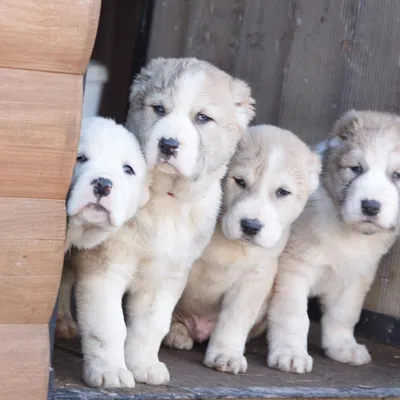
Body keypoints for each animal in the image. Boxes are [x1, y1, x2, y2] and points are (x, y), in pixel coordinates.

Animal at [74, 57, 255, 388]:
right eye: (158, 109)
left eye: (202, 118)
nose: (169, 144)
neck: (166, 201)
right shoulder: (104, 268)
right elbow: (109, 325)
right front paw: (111, 372)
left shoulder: (167, 276)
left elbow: (151, 326)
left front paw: (143, 365)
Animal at [162, 125, 322, 376]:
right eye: (239, 181)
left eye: (282, 192)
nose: (250, 225)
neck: (232, 245)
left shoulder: (255, 278)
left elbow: (235, 319)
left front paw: (226, 355)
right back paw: (176, 333)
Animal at [268, 108, 400, 372]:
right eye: (356, 168)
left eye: (397, 175)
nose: (370, 206)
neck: (348, 231)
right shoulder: (293, 270)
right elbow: (294, 315)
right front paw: (290, 352)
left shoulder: (355, 277)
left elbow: (344, 314)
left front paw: (342, 347)